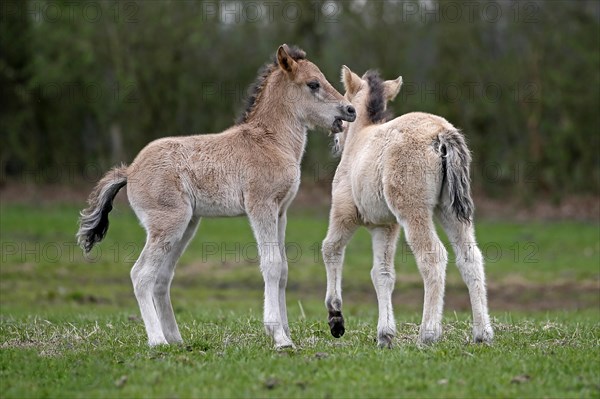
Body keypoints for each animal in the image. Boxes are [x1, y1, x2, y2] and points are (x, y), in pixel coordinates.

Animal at [75, 45, 356, 348]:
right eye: (313, 84)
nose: (350, 110)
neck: (270, 141)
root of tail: (130, 170)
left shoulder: (281, 211)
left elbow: (283, 270)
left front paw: (287, 334)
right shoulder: (261, 206)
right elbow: (271, 265)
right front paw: (279, 337)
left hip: (187, 224)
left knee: (162, 278)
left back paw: (177, 339)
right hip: (168, 223)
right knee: (141, 275)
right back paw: (158, 341)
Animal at [324, 67, 492, 348]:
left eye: (346, 103)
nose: (335, 140)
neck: (360, 138)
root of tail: (441, 132)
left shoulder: (343, 213)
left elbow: (330, 250)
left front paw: (336, 319)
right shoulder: (385, 226)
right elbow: (382, 273)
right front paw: (385, 335)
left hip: (414, 211)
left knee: (433, 257)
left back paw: (428, 334)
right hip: (450, 211)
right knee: (470, 257)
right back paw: (483, 334)